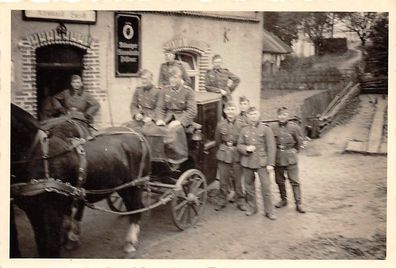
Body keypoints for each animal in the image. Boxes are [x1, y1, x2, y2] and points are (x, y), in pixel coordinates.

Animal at [10, 103, 151, 258]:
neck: (35, 154)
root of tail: (138, 135)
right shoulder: (33, 211)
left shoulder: (50, 211)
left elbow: (51, 245)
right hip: (123, 187)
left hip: (133, 186)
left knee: (136, 208)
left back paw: (130, 242)